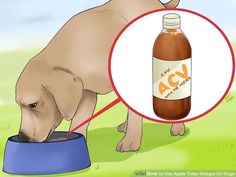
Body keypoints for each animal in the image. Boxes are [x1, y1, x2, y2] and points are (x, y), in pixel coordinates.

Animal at [15, 0, 184, 152]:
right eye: (19, 105)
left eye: (33, 105)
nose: (23, 138)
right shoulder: (86, 91)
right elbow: (80, 118)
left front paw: (130, 142)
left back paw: (176, 127)